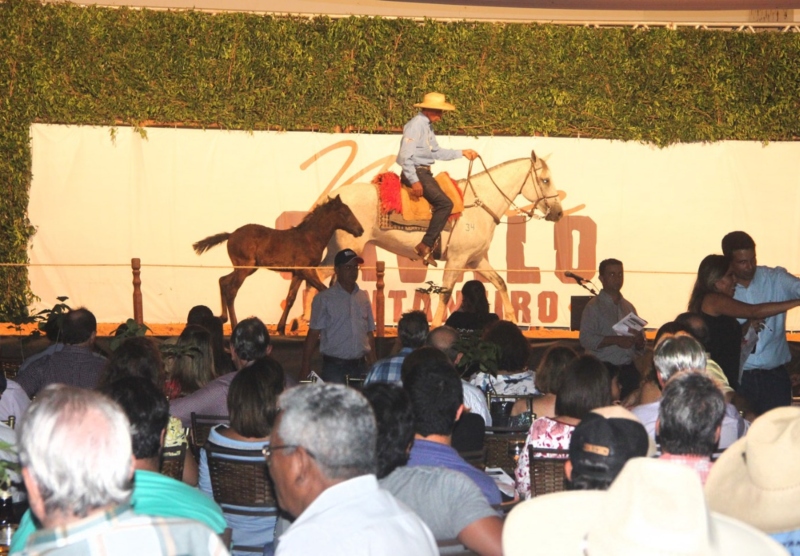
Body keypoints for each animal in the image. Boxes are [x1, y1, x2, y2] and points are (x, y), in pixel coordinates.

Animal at [316, 152, 560, 326]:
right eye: (545, 180)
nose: (558, 213)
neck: (477, 205)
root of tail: (333, 197)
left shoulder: (475, 260)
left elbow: (500, 282)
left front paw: (512, 320)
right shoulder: (457, 260)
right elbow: (446, 293)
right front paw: (435, 325)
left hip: (337, 251)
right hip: (348, 249)